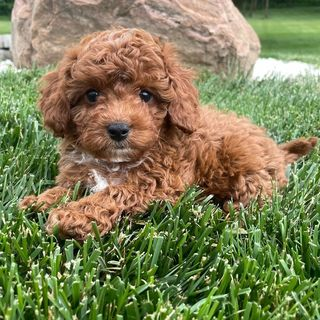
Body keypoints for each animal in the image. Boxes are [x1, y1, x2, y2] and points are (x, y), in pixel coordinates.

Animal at [20, 28, 318, 240]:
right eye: (92, 95)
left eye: (146, 95)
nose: (118, 129)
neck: (114, 162)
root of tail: (278, 151)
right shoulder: (79, 175)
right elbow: (67, 187)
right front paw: (40, 201)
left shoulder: (159, 183)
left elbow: (114, 193)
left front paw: (73, 216)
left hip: (245, 164)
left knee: (255, 199)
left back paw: (226, 215)